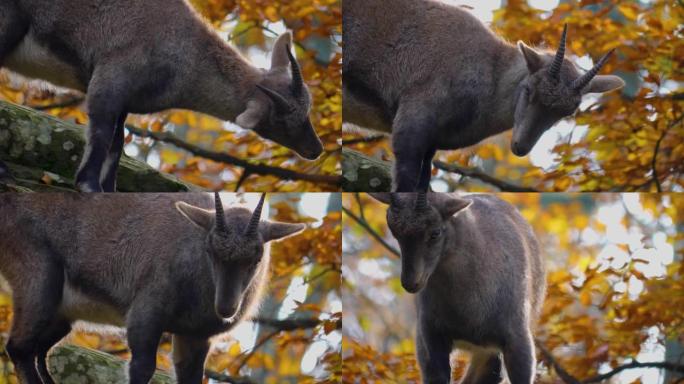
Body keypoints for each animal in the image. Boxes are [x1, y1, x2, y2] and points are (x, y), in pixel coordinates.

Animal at [0, 0, 324, 192]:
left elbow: (117, 144)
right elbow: (102, 134)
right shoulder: (110, 77)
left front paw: (109, 190)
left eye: (307, 109)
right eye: (282, 118)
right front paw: (88, 185)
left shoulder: (125, 101)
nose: (315, 149)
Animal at [0, 194, 304, 382]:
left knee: (38, 351)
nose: (226, 308)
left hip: (61, 316)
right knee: (20, 348)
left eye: (256, 258)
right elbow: (143, 367)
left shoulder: (194, 336)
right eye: (210, 251)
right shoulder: (146, 313)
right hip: (39, 279)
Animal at [344, 0, 628, 192]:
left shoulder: (431, 142)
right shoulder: (414, 114)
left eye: (567, 111)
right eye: (529, 89)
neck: (491, 73)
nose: (521, 146)